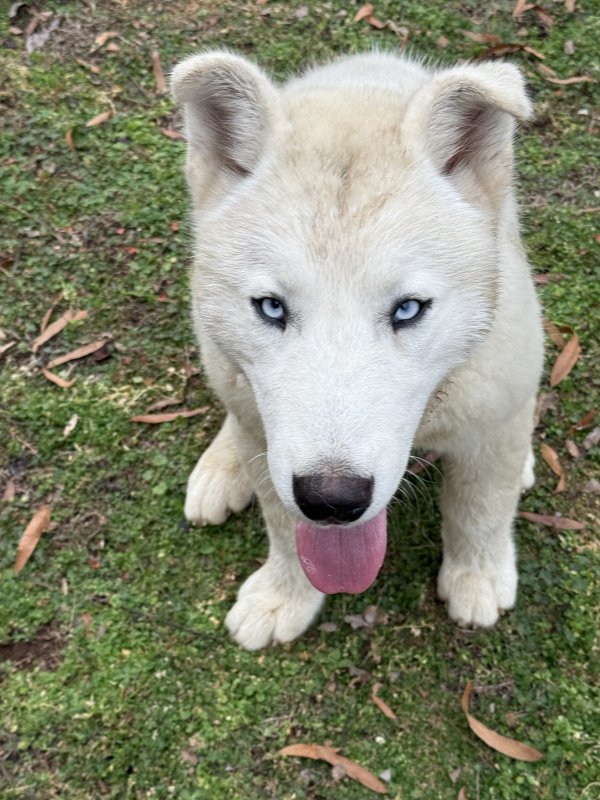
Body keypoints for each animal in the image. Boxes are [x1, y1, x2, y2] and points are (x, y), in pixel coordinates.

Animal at [170, 50, 544, 648]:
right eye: (271, 307)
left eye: (408, 309)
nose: (332, 500)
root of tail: (370, 60)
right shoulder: (274, 451)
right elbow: (283, 523)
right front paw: (285, 595)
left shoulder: (491, 425)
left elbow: (478, 509)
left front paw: (477, 577)